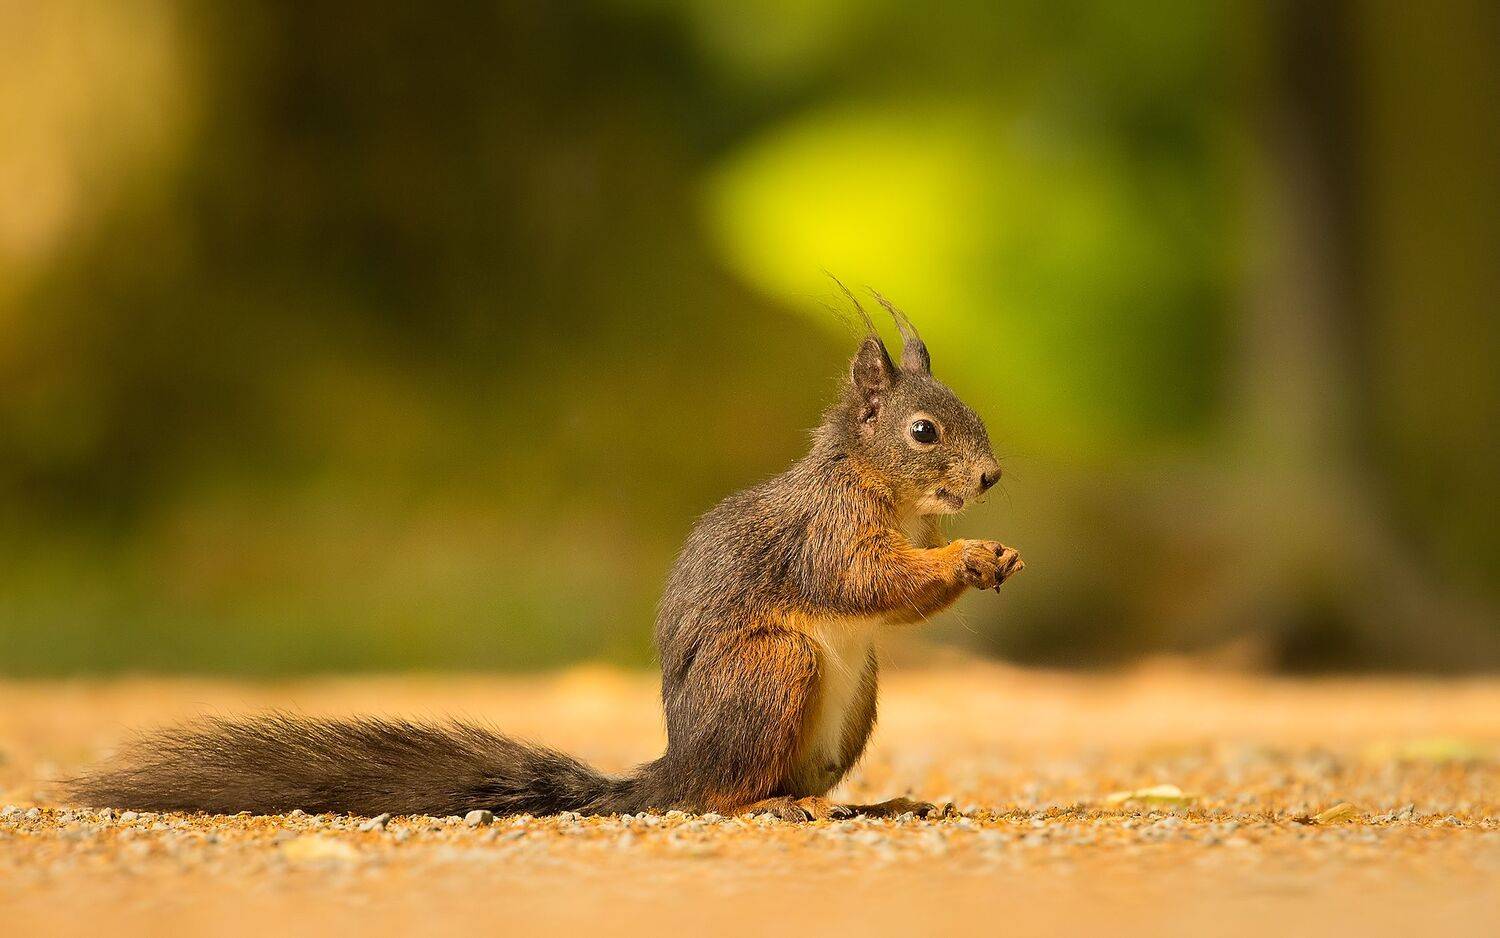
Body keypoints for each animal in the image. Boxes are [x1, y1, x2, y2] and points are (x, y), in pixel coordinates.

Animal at [68, 289, 1023, 822]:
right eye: (924, 431)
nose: (991, 477)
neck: (880, 488)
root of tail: (677, 763)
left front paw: (992, 555)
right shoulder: (828, 532)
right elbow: (865, 581)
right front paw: (971, 557)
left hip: (851, 703)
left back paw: (878, 799)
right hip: (772, 671)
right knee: (717, 796)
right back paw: (770, 806)